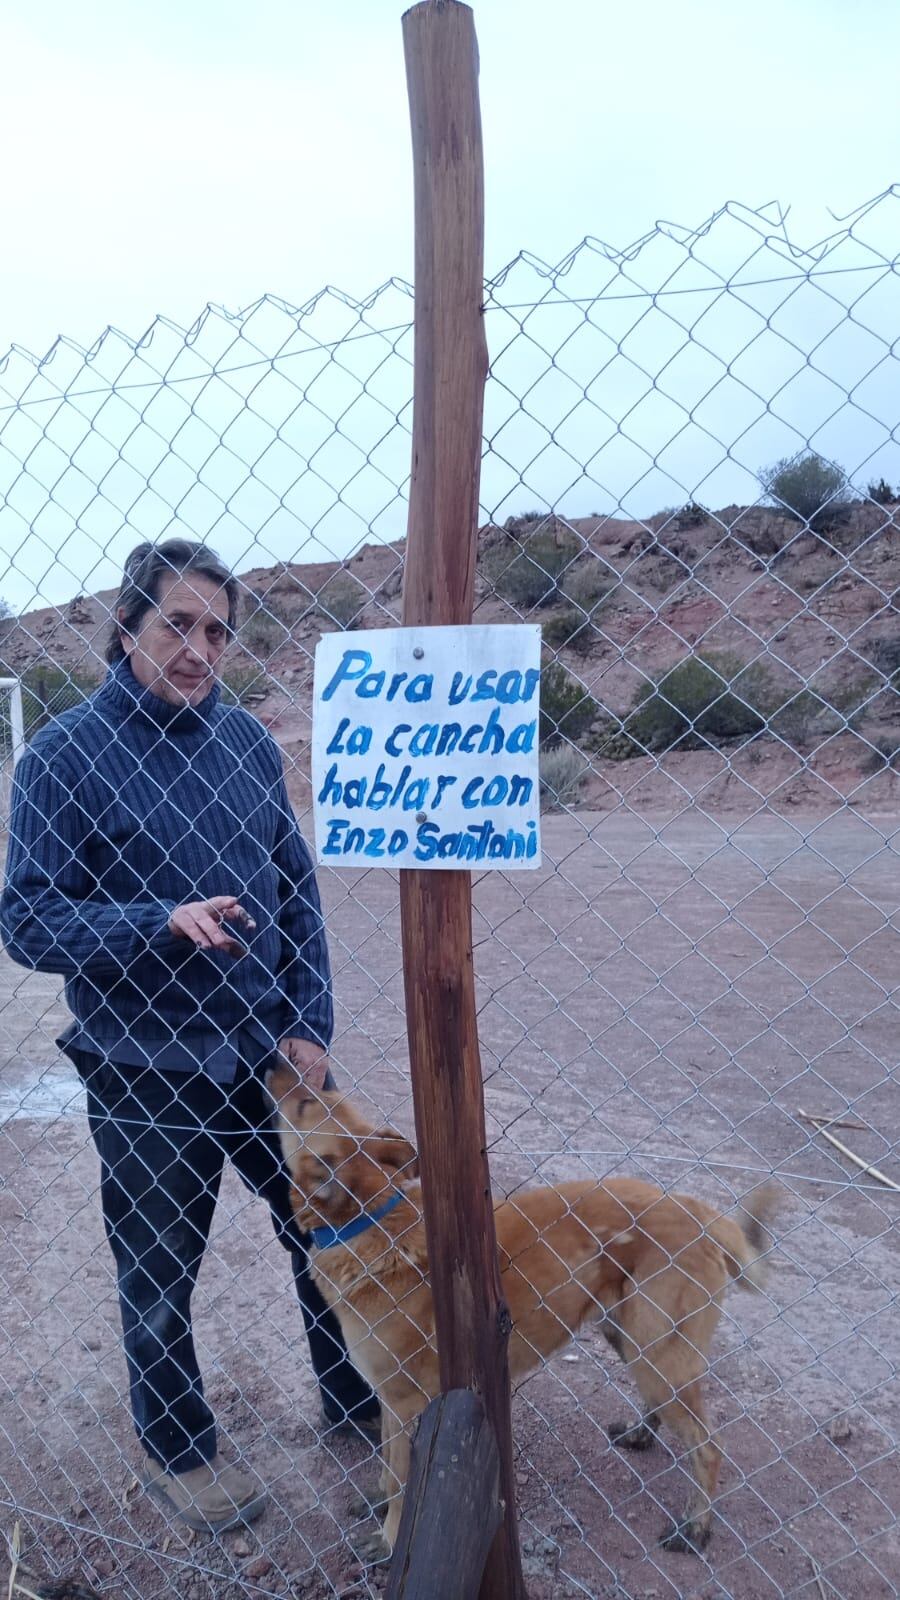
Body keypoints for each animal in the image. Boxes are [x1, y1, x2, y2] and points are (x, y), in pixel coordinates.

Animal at [267, 1068, 778, 1555]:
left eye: (306, 1102)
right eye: (317, 1096)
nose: (274, 1061)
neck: (371, 1220)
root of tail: (701, 1212)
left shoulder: (408, 1401)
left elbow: (401, 1479)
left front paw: (390, 1539)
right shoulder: (392, 1398)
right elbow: (388, 1469)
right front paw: (376, 1499)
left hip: (658, 1353)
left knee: (708, 1445)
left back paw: (696, 1527)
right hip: (632, 1340)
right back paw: (640, 1433)